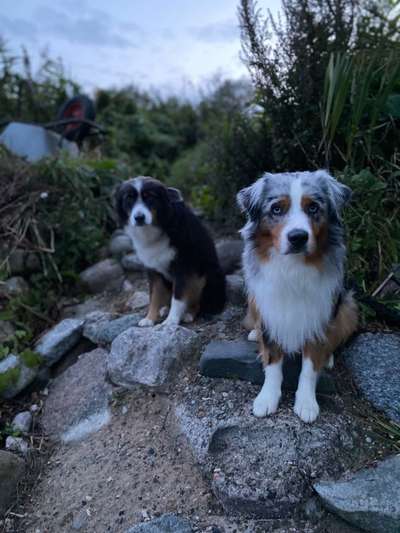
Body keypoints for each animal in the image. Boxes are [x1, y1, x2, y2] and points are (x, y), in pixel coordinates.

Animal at [117, 176, 227, 324]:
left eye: (150, 197)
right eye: (129, 198)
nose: (139, 218)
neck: (159, 226)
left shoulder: (183, 266)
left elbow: (178, 296)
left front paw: (171, 321)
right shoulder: (153, 269)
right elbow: (154, 295)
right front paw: (149, 318)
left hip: (206, 275)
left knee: (200, 303)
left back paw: (189, 314)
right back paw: (165, 309)